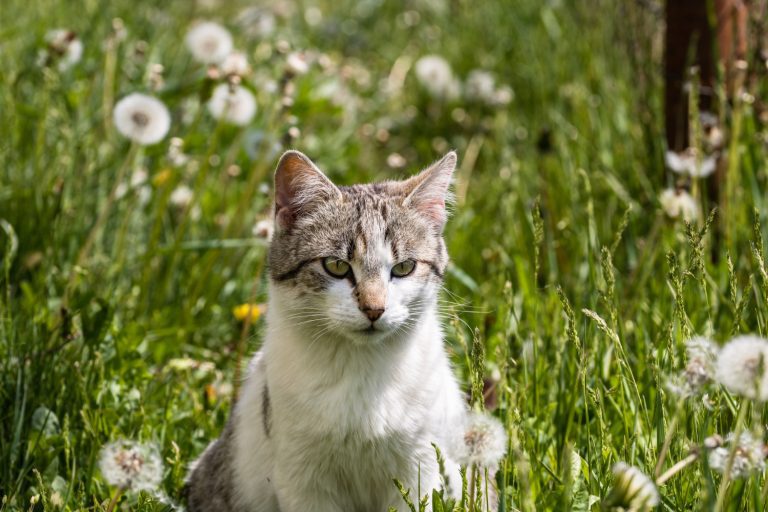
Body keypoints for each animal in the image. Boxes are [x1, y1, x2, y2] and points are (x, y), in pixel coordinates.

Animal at [185, 150, 468, 510]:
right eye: (336, 266)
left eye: (404, 268)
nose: (374, 309)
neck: (361, 370)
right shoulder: (302, 476)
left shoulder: (419, 466)